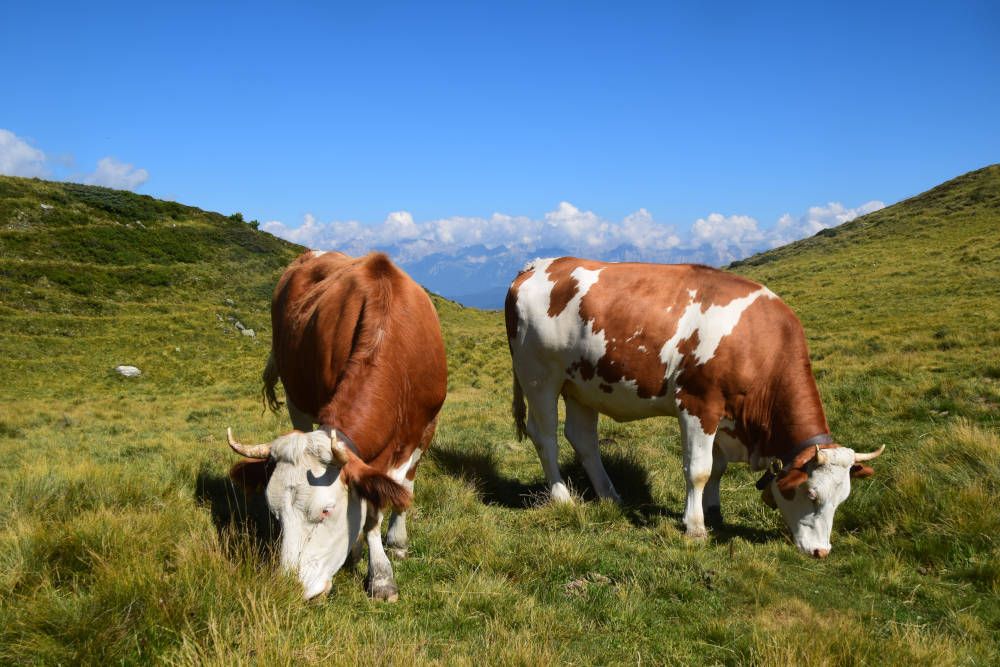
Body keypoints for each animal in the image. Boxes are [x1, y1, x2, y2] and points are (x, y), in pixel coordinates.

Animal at [229, 249, 448, 600]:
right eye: (275, 515)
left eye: (326, 510)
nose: (289, 587)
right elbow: (371, 506)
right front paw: (370, 563)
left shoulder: (425, 427)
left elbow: (401, 488)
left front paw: (392, 553)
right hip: (296, 398)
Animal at [508, 258, 884, 560]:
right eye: (811, 493)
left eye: (843, 499)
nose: (821, 551)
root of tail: (538, 265)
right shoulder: (697, 405)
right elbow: (699, 470)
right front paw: (695, 526)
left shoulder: (723, 417)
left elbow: (717, 469)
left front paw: (714, 511)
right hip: (539, 376)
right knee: (546, 437)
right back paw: (562, 498)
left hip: (583, 385)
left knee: (583, 439)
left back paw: (610, 496)